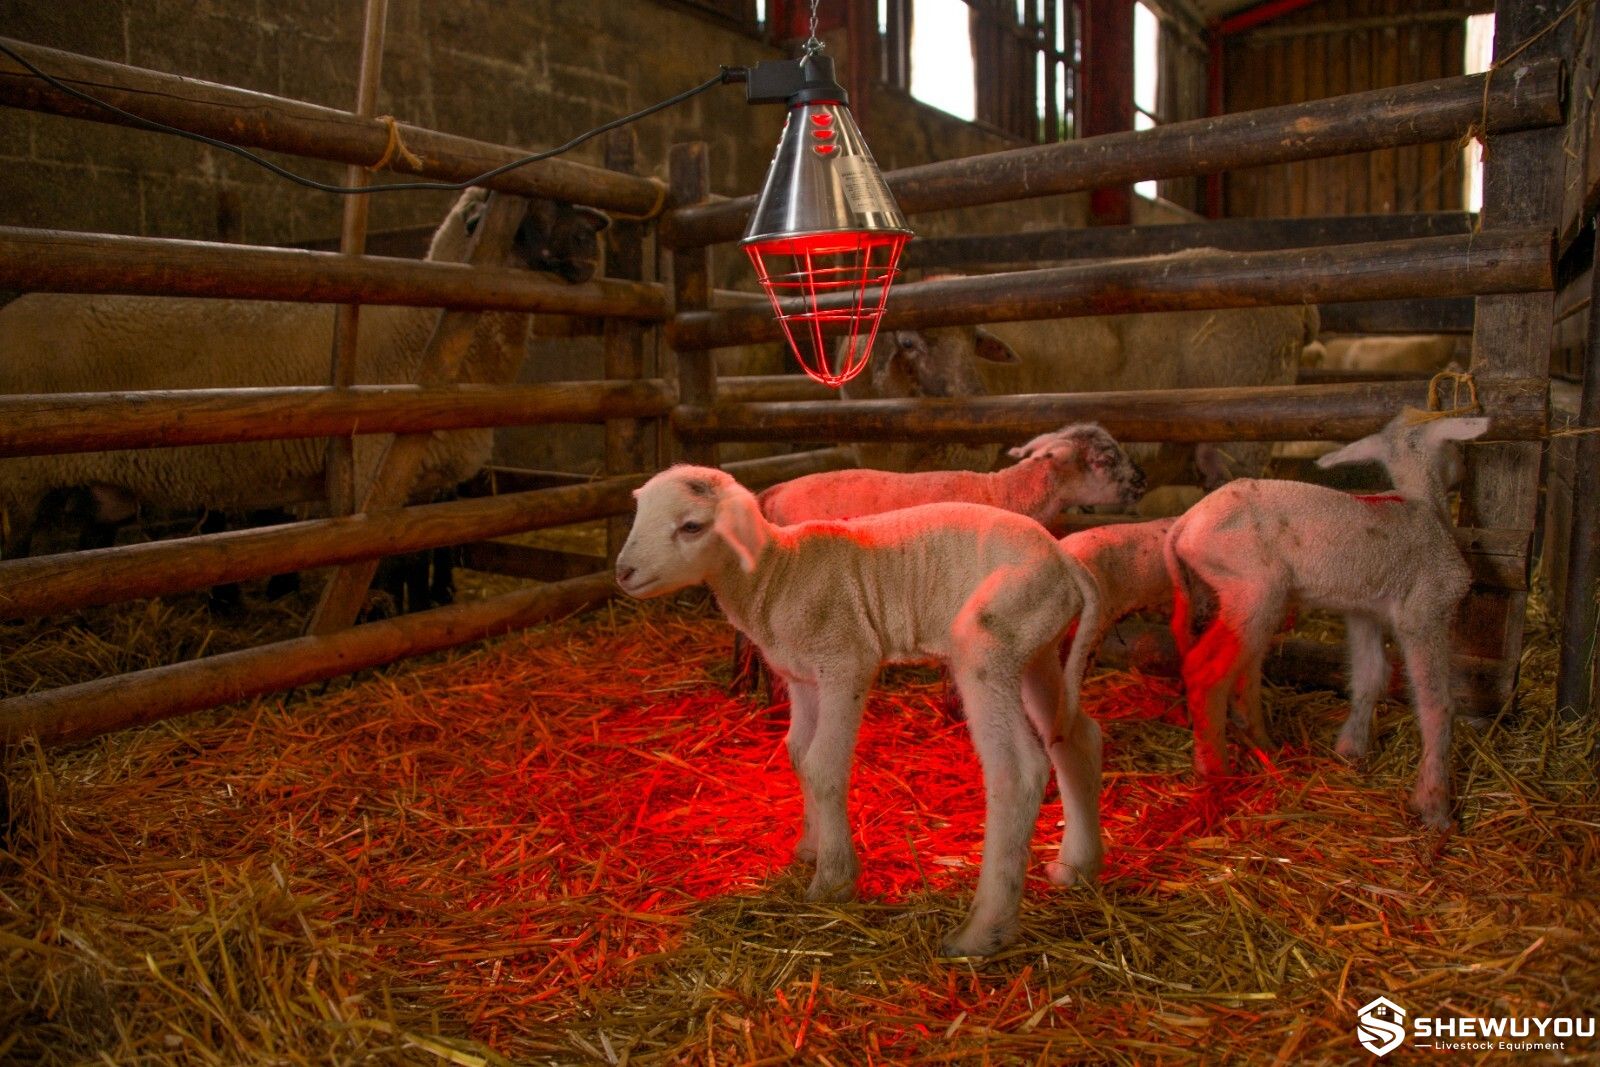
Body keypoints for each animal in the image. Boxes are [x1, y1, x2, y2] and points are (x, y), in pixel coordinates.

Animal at [0, 189, 609, 559]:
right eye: (532, 209)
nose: (593, 239)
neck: (425, 326)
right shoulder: (372, 472)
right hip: (18, 484)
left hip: (88, 489)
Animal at [616, 465, 1105, 957]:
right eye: (639, 512)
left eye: (691, 526)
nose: (623, 572)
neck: (776, 574)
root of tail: (1065, 562)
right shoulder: (803, 677)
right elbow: (798, 754)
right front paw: (809, 847)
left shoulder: (844, 661)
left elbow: (823, 765)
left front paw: (833, 880)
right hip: (1035, 647)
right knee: (1074, 738)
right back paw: (1077, 867)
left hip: (990, 641)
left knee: (1017, 771)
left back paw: (982, 932)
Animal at [1162, 414, 1490, 829]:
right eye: (1453, 446)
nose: (1462, 470)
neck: (1423, 505)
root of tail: (1184, 526)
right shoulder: (1425, 608)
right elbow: (1436, 705)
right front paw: (1434, 805)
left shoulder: (1364, 611)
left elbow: (1370, 677)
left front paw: (1351, 749)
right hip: (1252, 586)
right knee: (1206, 671)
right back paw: (1215, 772)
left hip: (1223, 592)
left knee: (1239, 671)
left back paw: (1265, 745)